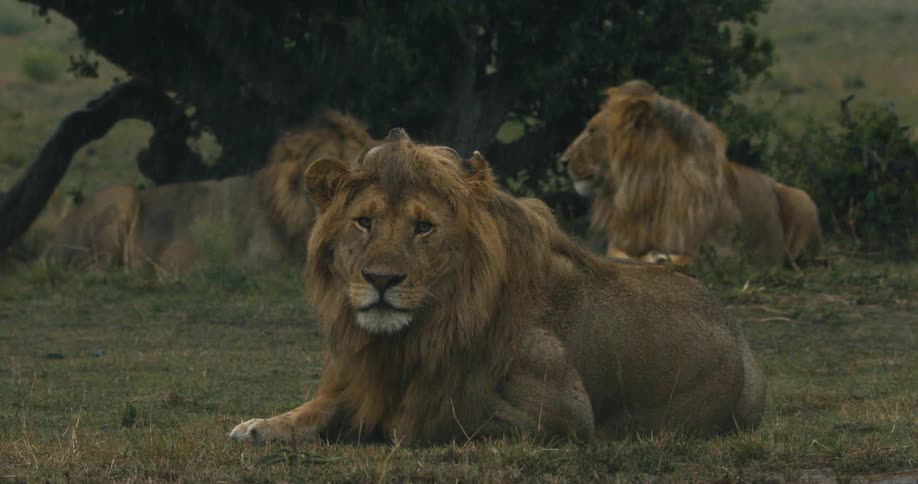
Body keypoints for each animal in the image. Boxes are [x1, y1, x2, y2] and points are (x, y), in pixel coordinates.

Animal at [229, 129, 765, 445]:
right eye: (364, 222)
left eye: (423, 228)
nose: (381, 280)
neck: (414, 334)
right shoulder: (363, 377)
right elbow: (314, 409)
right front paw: (258, 426)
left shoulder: (567, 414)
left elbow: (450, 417)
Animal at [560, 79, 821, 266]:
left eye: (592, 131)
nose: (562, 160)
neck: (650, 188)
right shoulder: (622, 238)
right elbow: (618, 253)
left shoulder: (726, 251)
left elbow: (688, 259)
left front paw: (660, 258)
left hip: (802, 198)